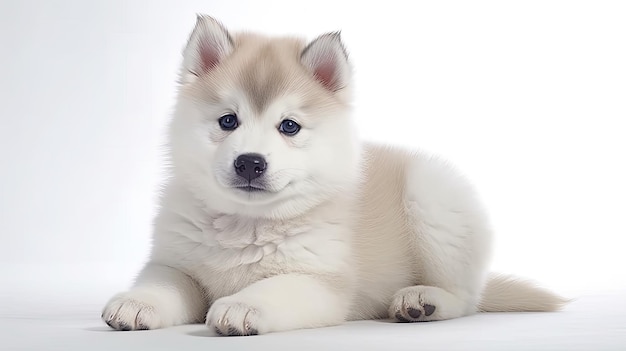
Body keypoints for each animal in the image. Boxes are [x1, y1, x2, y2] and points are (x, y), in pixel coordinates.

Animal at [102, 15, 564, 336]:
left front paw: (242, 306)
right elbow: (164, 283)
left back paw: (421, 301)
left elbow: (273, 288)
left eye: (289, 126)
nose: (250, 162)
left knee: (467, 298)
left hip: (433, 198)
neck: (246, 224)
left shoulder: (321, 281)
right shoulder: (174, 263)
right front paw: (135, 303)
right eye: (228, 121)